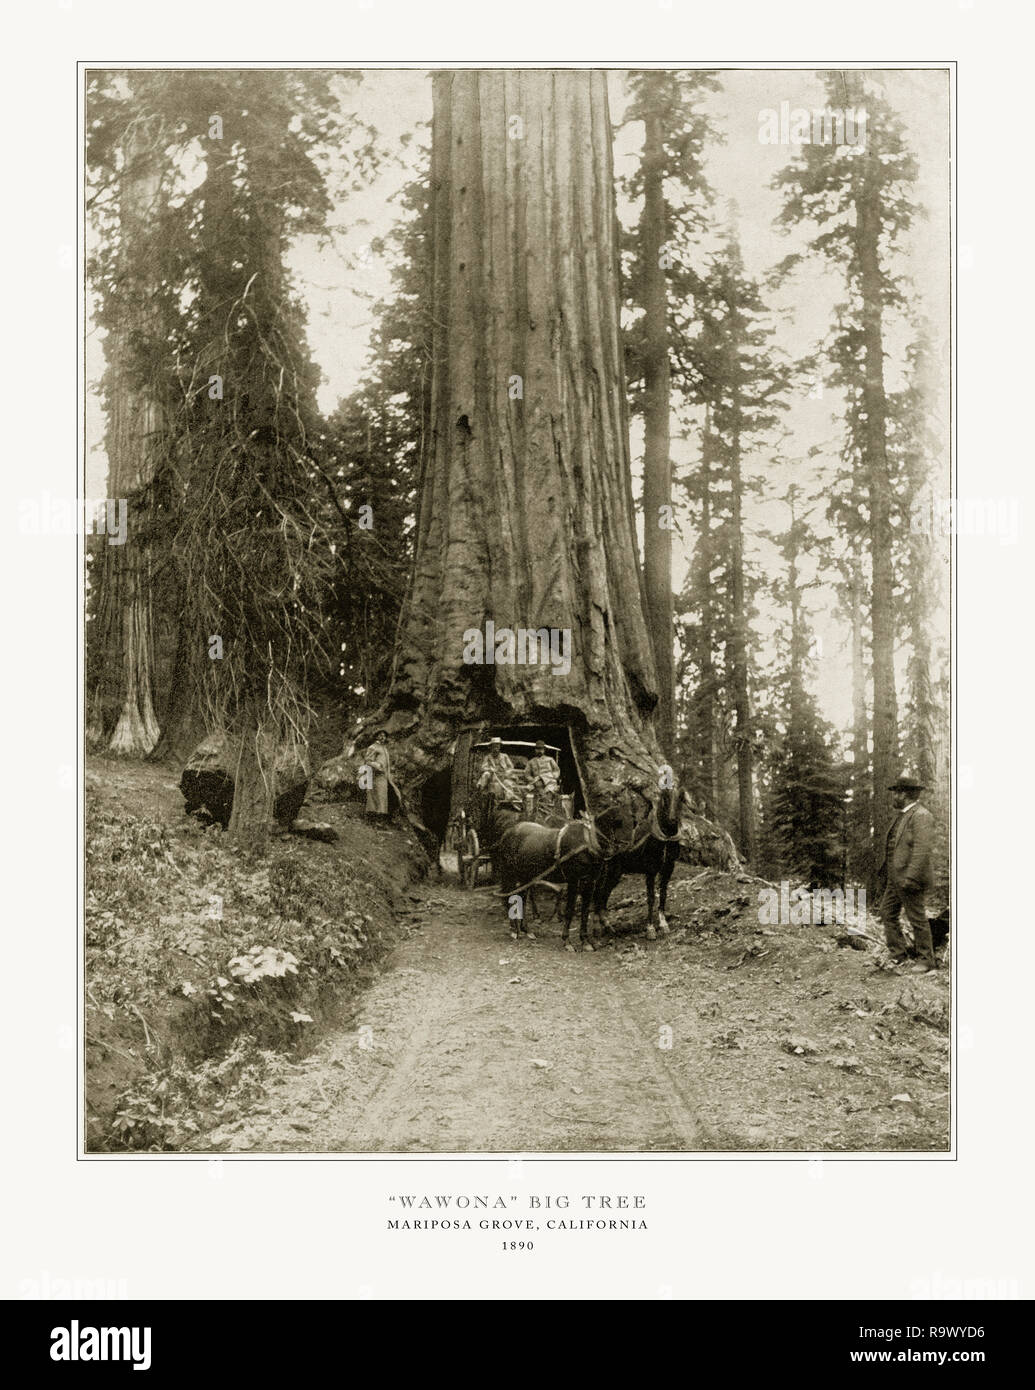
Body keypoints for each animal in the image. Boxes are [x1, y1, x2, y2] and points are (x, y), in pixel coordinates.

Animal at [489, 811, 602, 950]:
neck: (586, 841)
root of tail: (508, 832)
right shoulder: (573, 880)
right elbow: (570, 910)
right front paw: (567, 942)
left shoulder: (591, 881)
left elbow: (585, 911)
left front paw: (585, 942)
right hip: (509, 874)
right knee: (509, 897)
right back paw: (514, 931)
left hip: (525, 875)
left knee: (523, 898)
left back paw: (526, 930)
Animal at [589, 789, 686, 939]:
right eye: (665, 799)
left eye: (680, 799)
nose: (672, 819)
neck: (665, 839)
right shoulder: (650, 870)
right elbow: (651, 898)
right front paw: (650, 929)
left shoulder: (668, 867)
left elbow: (663, 894)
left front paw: (664, 924)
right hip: (603, 867)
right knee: (597, 893)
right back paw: (597, 928)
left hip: (615, 871)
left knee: (603, 895)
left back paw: (608, 927)